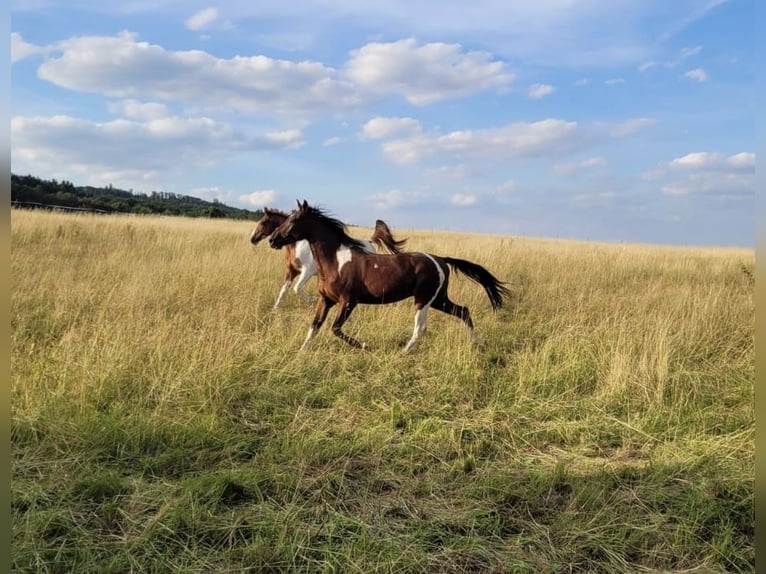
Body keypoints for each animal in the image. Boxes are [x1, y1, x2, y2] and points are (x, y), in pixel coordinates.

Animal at [250, 207, 407, 309]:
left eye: (263, 222)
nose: (252, 239)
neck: (296, 246)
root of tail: (369, 242)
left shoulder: (307, 272)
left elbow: (296, 289)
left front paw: (312, 300)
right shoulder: (292, 271)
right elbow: (284, 290)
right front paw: (275, 309)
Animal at [269, 200, 512, 353]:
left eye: (293, 221)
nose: (272, 240)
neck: (335, 261)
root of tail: (440, 260)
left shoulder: (349, 301)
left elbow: (335, 328)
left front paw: (365, 346)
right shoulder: (326, 299)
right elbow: (315, 326)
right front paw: (302, 351)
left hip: (423, 299)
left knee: (421, 327)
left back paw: (404, 351)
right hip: (438, 299)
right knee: (463, 312)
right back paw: (478, 344)